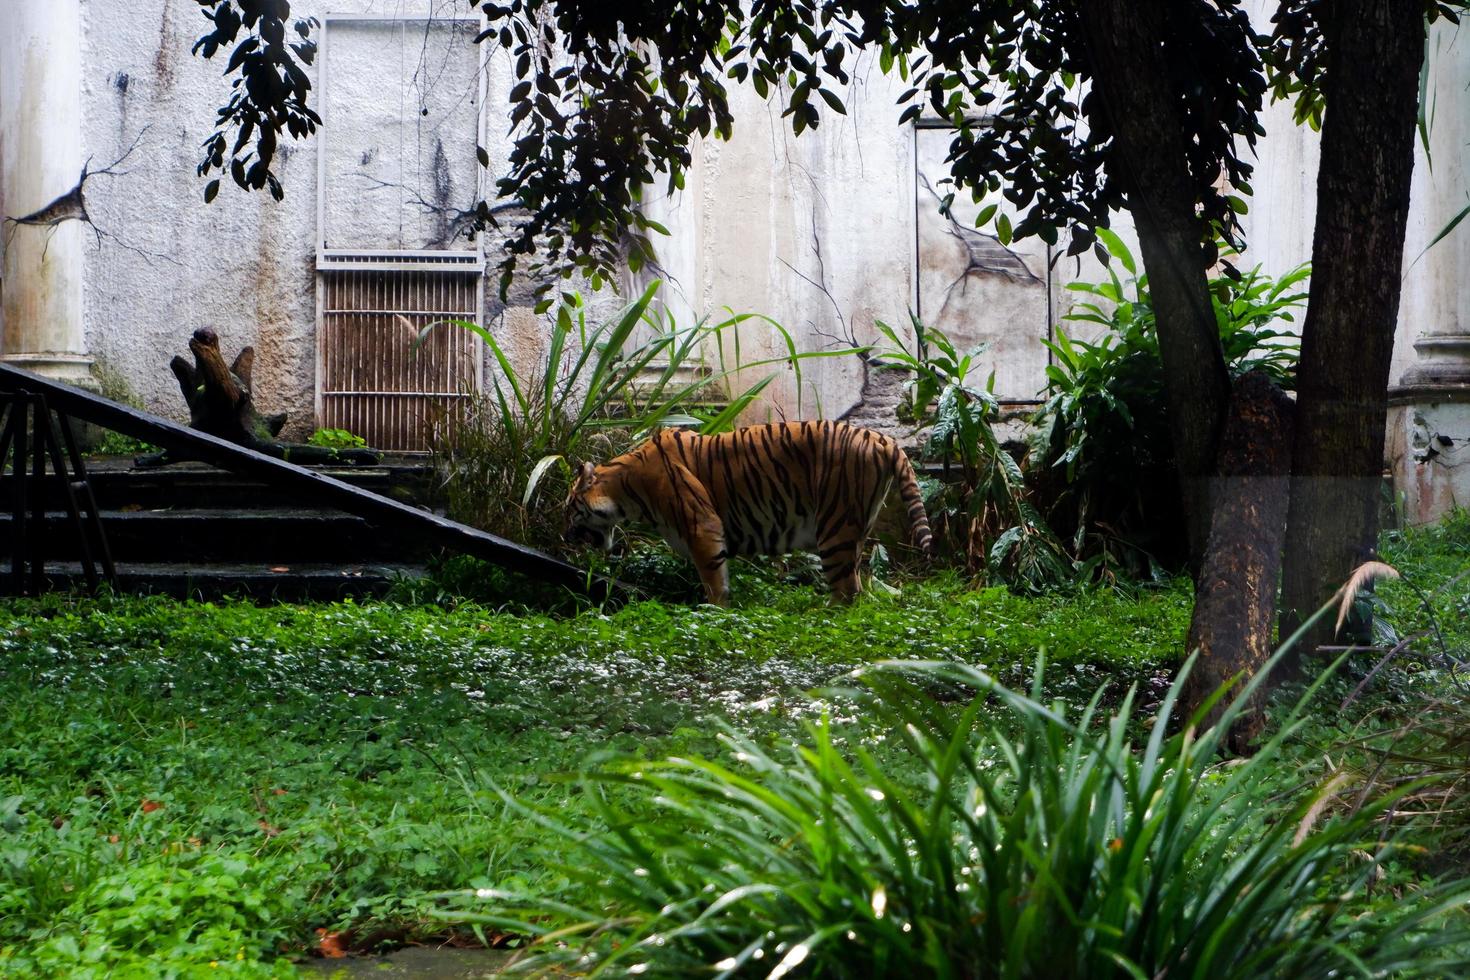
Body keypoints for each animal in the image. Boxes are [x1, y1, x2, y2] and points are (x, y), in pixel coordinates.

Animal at [558, 420, 929, 605]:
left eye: (570, 508)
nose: (563, 536)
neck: (626, 486)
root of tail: (882, 438)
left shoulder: (703, 527)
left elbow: (714, 580)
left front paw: (714, 611)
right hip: (855, 526)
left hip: (834, 527)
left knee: (847, 590)